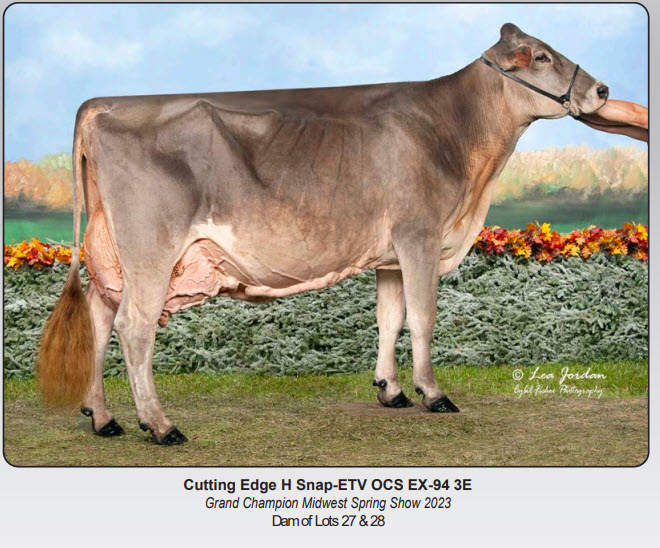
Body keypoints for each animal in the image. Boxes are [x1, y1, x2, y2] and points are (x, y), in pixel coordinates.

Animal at [37, 23, 643, 445]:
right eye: (541, 56)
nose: (601, 89)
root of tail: (103, 104)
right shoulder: (420, 237)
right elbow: (424, 318)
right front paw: (433, 393)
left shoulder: (391, 255)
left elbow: (390, 318)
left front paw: (391, 390)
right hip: (151, 252)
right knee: (134, 329)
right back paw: (160, 426)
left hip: (112, 253)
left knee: (99, 319)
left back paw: (103, 417)